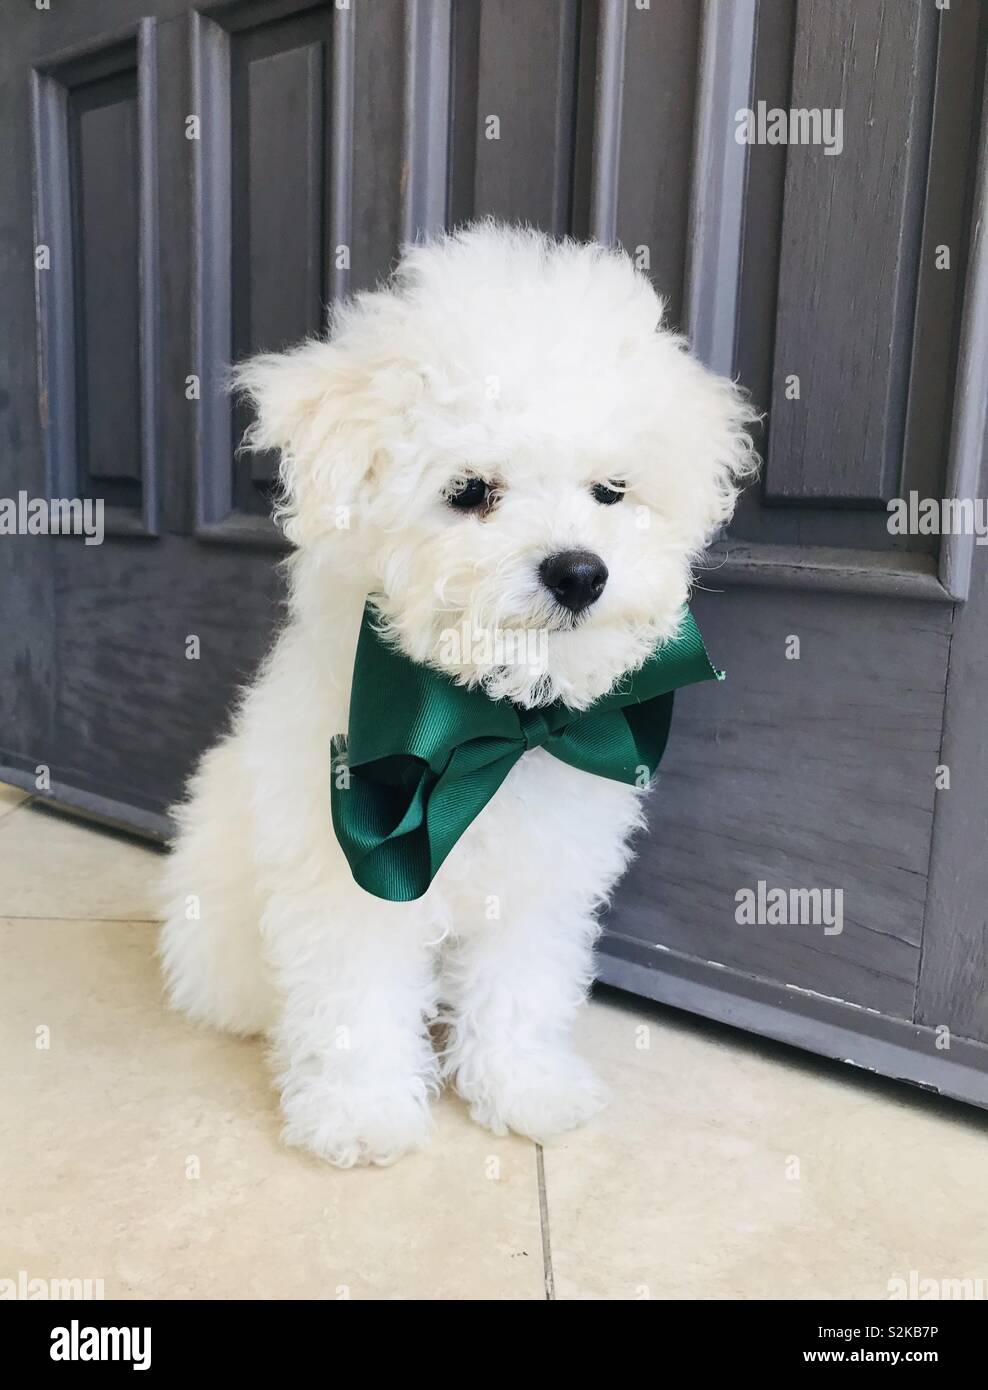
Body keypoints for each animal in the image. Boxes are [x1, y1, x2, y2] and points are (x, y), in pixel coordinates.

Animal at [158, 222, 755, 1167]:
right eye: (470, 491)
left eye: (612, 491)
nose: (579, 571)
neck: (492, 725)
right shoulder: (350, 874)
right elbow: (355, 999)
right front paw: (361, 1113)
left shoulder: (539, 880)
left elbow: (521, 987)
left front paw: (526, 1088)